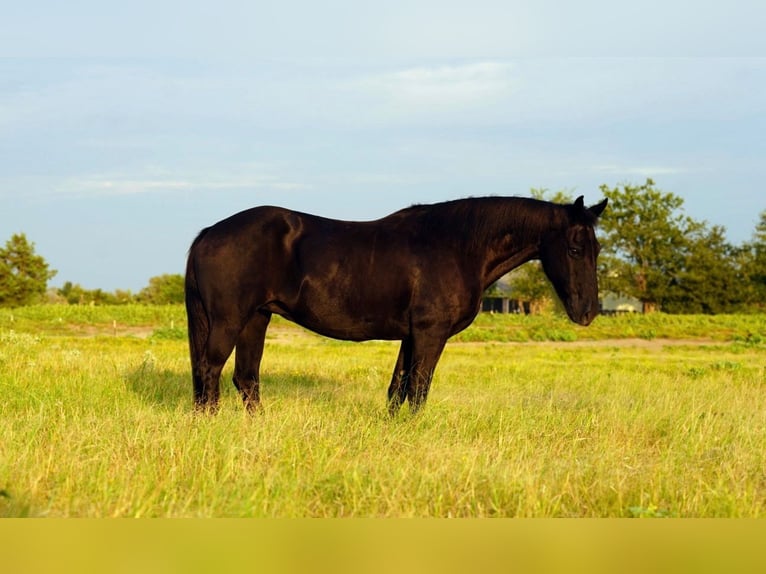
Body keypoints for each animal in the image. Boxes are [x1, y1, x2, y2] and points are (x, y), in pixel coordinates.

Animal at [185, 195, 607, 414]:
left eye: (598, 248)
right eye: (574, 248)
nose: (587, 312)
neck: (456, 246)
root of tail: (208, 234)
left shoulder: (411, 335)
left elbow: (398, 389)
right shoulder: (430, 334)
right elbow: (418, 390)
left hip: (257, 319)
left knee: (245, 378)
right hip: (230, 320)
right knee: (209, 370)